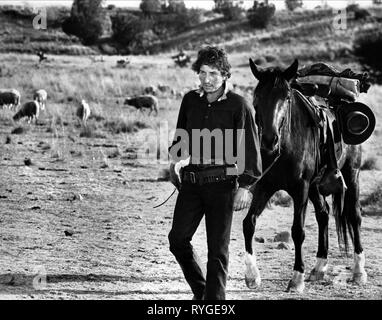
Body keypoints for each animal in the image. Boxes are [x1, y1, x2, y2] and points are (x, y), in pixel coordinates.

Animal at [243, 58, 366, 294]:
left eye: (287, 97)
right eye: (257, 96)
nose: (269, 140)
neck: (286, 146)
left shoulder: (300, 188)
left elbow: (297, 231)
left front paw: (296, 279)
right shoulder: (265, 186)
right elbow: (249, 223)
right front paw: (252, 276)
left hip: (351, 174)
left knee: (354, 217)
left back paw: (358, 271)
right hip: (316, 187)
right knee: (324, 214)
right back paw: (318, 268)